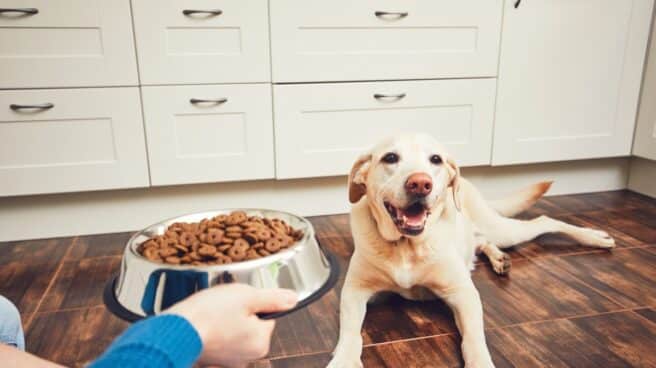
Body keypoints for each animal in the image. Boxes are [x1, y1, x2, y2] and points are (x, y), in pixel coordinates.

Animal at [328, 134, 616, 366]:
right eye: (390, 157)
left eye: (435, 159)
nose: (420, 183)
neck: (406, 246)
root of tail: (466, 182)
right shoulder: (354, 292)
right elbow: (351, 335)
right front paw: (343, 360)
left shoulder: (463, 293)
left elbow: (474, 338)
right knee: (482, 241)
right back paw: (499, 258)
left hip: (503, 228)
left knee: (543, 221)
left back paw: (595, 237)